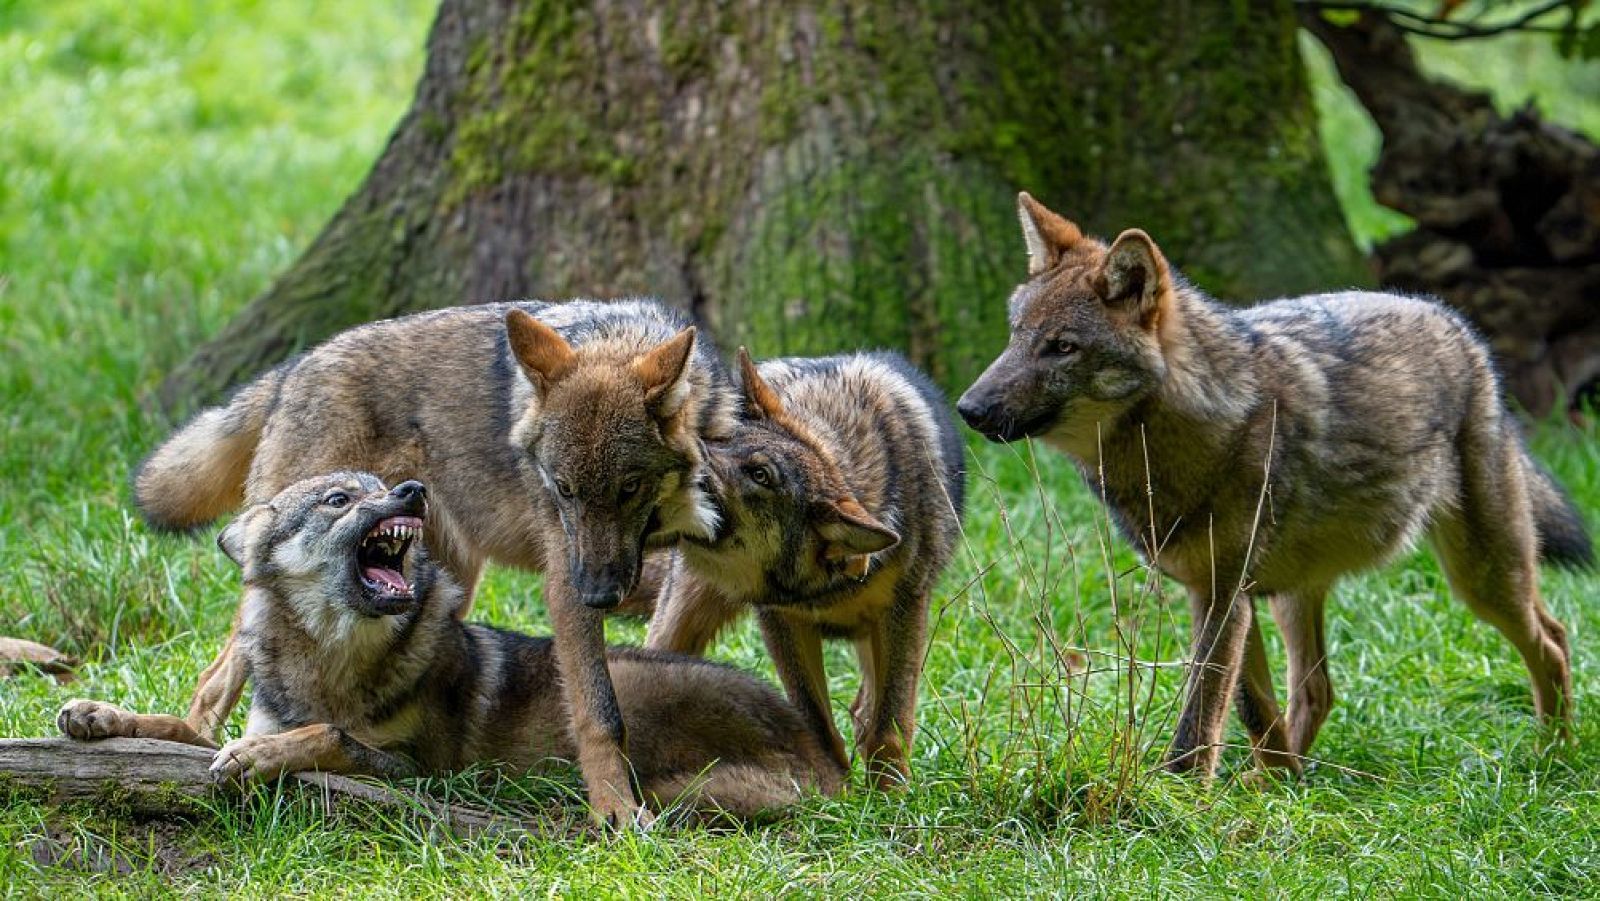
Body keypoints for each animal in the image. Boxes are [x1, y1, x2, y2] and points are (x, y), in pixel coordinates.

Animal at [60, 473, 843, 819]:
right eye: (341, 499)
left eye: (382, 486)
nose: (411, 488)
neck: (332, 657)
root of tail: (825, 755)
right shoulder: (248, 714)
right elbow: (177, 727)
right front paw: (97, 714)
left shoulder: (417, 771)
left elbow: (328, 734)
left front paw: (257, 758)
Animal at [133, 299, 739, 825]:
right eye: (562, 489)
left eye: (629, 488)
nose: (599, 594)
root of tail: (293, 368)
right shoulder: (565, 577)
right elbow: (599, 711)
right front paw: (614, 808)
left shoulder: (695, 577)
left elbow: (662, 656)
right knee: (213, 680)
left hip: (453, 579)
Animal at [646, 349, 966, 788]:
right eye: (716, 440)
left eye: (761, 474)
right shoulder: (782, 619)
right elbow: (815, 721)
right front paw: (832, 790)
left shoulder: (904, 611)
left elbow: (890, 724)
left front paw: (890, 795)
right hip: (680, 622)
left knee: (866, 707)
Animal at [957, 192, 1591, 777]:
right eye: (1015, 336)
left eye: (1062, 346)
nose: (968, 409)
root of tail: (1454, 321)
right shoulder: (1222, 591)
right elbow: (1252, 708)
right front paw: (1275, 790)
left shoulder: (1223, 592)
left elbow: (1201, 715)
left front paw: (1180, 795)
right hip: (1295, 592)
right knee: (1318, 691)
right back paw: (1284, 780)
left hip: (1479, 578)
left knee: (1554, 639)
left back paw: (1555, 755)